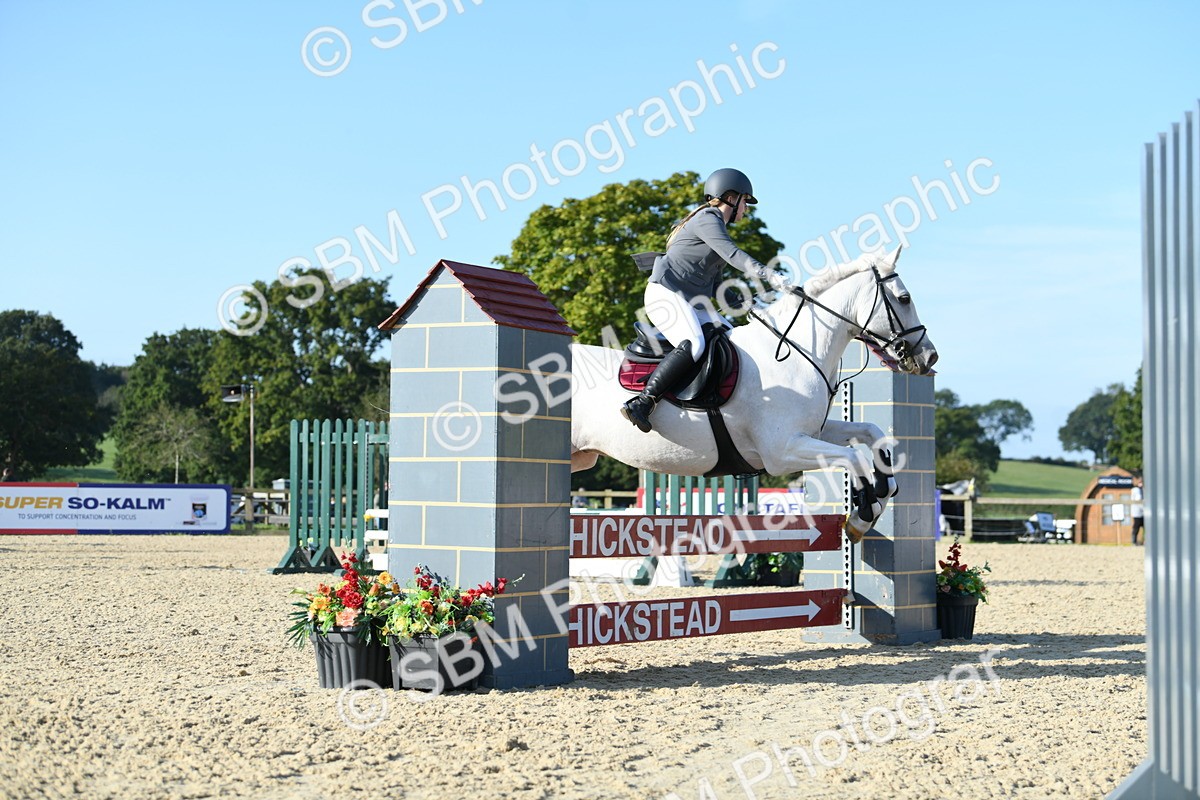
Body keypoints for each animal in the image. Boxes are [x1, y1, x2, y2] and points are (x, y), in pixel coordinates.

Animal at [568, 247, 938, 540]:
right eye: (904, 299)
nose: (929, 357)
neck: (798, 351)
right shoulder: (782, 451)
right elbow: (854, 457)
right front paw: (864, 511)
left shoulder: (811, 432)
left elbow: (871, 433)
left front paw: (882, 491)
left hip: (580, 457)